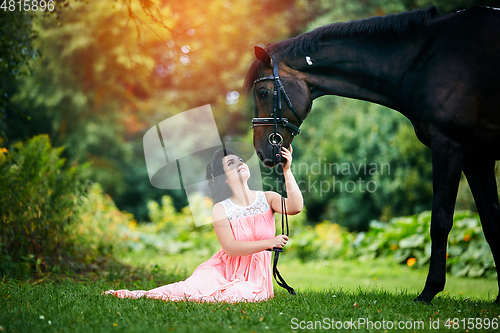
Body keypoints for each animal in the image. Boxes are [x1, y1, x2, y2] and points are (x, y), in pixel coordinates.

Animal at [245, 5, 500, 302]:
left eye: (263, 92)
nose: (261, 151)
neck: (427, 59)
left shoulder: (449, 146)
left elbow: (441, 220)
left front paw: (429, 291)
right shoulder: (477, 158)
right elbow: (491, 223)